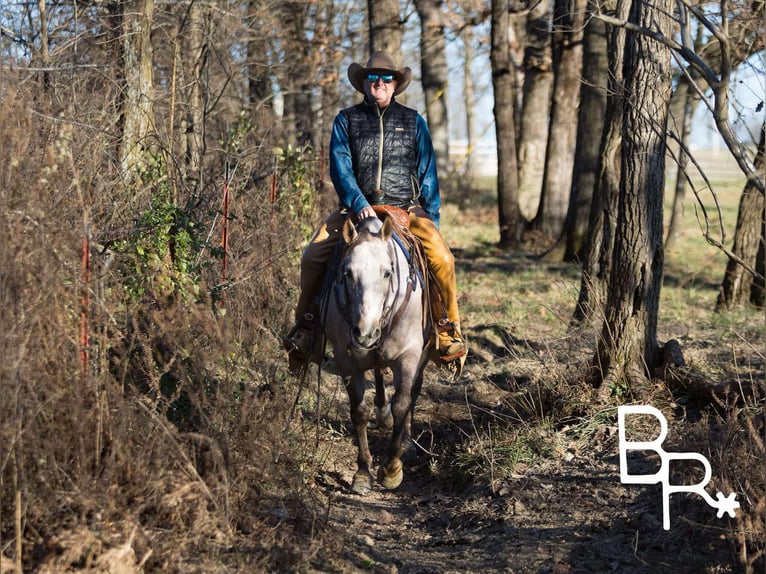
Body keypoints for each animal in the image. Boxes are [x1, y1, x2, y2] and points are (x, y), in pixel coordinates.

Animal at [320, 216, 432, 496]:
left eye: (387, 273)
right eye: (347, 273)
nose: (365, 333)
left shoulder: (409, 355)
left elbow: (402, 403)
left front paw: (392, 468)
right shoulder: (345, 358)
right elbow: (359, 410)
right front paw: (362, 473)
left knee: (413, 392)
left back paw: (407, 443)